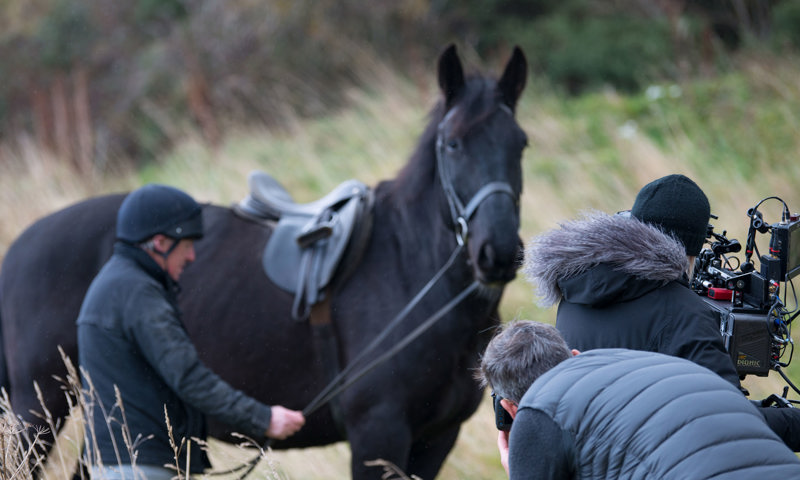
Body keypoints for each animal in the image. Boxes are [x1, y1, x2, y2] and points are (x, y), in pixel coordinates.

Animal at [1, 46, 532, 480]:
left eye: (520, 144)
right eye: (453, 143)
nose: (497, 253)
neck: (410, 270)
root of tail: (19, 247)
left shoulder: (436, 438)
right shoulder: (377, 433)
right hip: (39, 409)